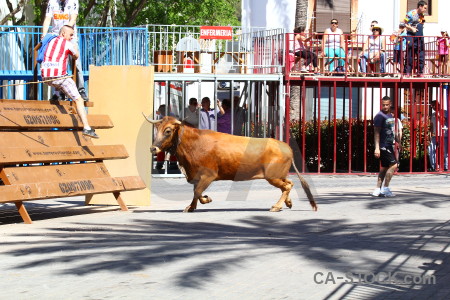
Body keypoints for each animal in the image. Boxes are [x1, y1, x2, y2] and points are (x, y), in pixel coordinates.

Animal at [144, 113, 316, 212]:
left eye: (168, 131)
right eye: (157, 129)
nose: (152, 148)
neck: (195, 144)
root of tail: (285, 146)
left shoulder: (208, 175)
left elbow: (197, 191)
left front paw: (194, 205)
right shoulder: (197, 176)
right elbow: (197, 192)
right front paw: (199, 203)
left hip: (272, 176)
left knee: (287, 186)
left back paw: (276, 206)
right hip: (279, 175)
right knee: (288, 185)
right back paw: (288, 203)